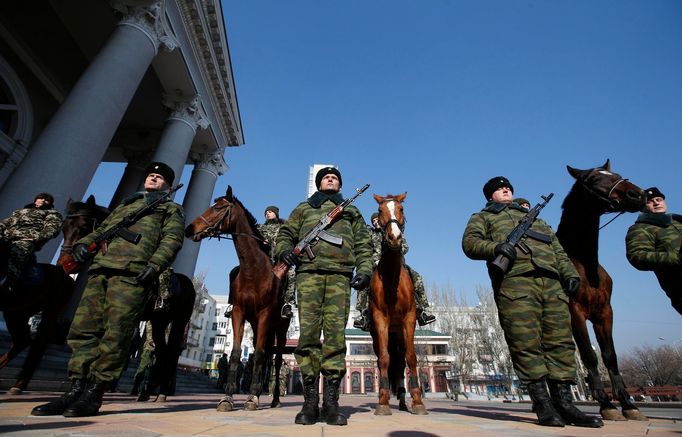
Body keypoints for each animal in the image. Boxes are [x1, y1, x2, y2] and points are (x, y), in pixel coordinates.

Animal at [0, 194, 107, 392]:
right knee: (23, 340)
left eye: (84, 226)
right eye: (63, 228)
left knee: (38, 341)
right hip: (18, 312)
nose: (64, 262)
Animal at [185, 186, 288, 410]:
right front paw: (228, 396)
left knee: (275, 359)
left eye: (218, 207)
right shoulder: (239, 312)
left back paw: (274, 398)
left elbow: (258, 354)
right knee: (265, 354)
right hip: (257, 324)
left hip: (279, 328)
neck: (253, 269)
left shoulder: (265, 314)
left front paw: (251, 398)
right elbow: (236, 352)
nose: (189, 229)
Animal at [366, 192, 424, 414]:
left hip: (399, 332)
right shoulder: (380, 320)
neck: (392, 277)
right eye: (380, 210)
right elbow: (384, 358)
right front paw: (382, 402)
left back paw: (402, 399)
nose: (394, 237)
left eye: (401, 209)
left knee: (400, 362)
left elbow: (411, 358)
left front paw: (418, 401)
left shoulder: (409, 318)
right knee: (388, 359)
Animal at [552, 158, 644, 420]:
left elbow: (610, 356)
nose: (639, 194)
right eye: (593, 180)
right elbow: (589, 355)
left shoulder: (605, 312)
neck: (584, 262)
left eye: (617, 174)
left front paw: (628, 404)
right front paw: (605, 403)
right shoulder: (575, 312)